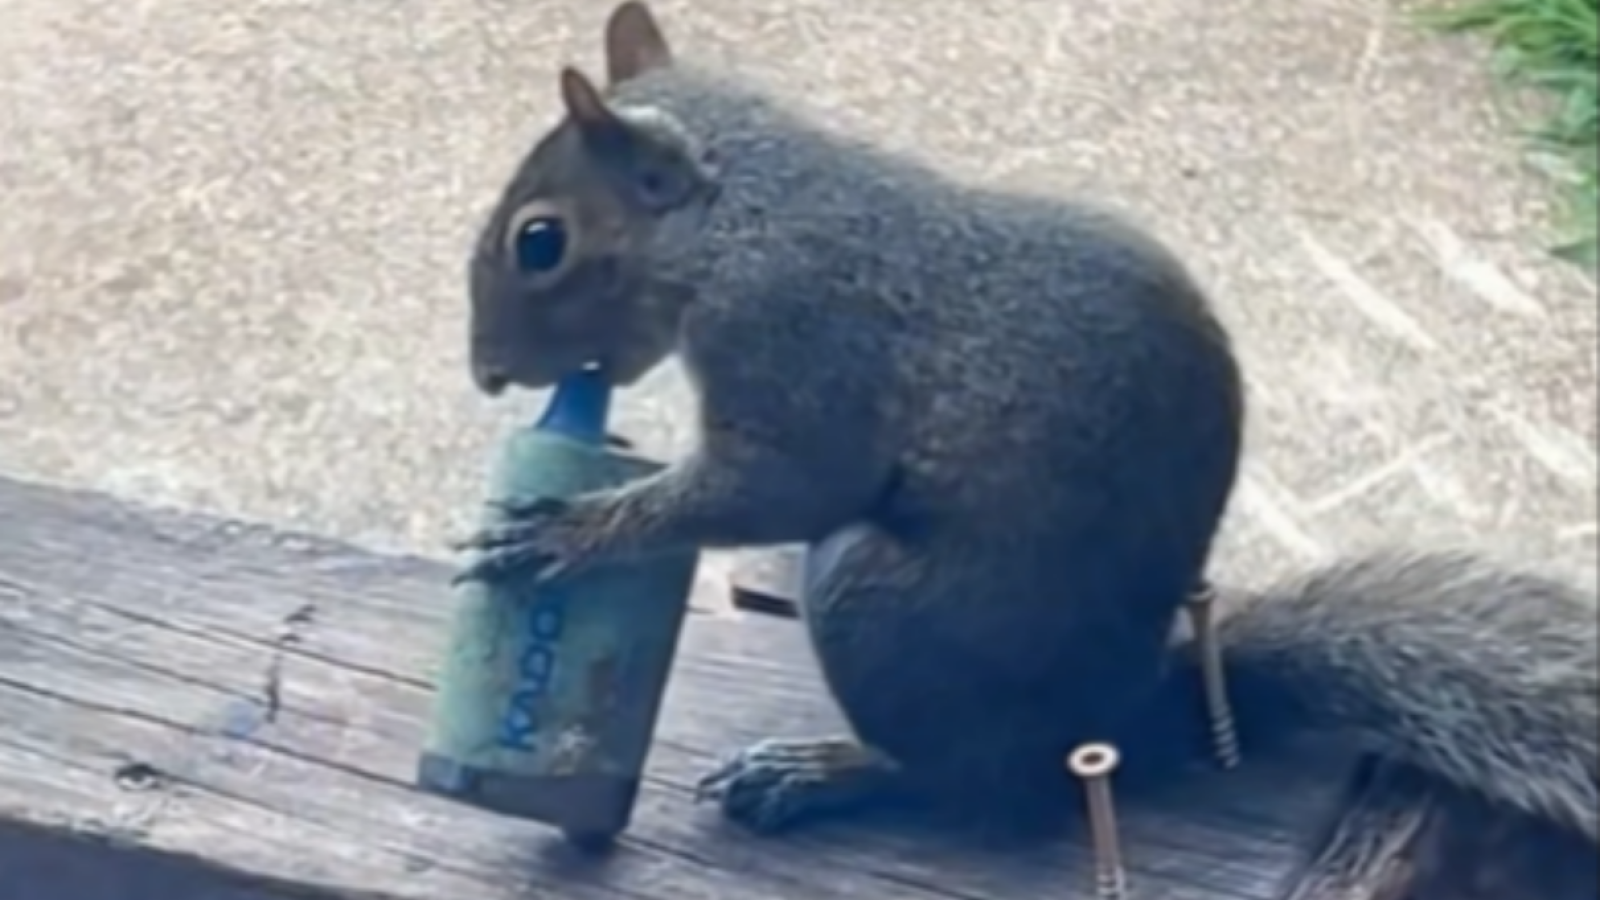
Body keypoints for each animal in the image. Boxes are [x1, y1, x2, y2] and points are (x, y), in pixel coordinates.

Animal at [457, 0, 1598, 886]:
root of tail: (1130, 720)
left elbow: (789, 486)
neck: (738, 218)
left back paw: (826, 772)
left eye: (541, 241)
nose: (489, 374)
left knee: (970, 789)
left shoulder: (797, 341)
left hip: (875, 601)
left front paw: (566, 531)